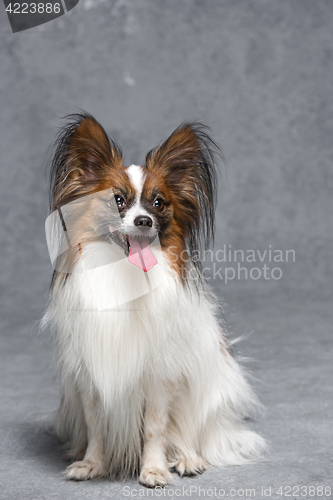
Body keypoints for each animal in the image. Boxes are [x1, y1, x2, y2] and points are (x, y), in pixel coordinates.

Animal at [42, 111, 264, 486]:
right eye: (117, 200)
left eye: (158, 203)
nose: (144, 220)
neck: (125, 274)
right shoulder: (90, 377)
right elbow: (96, 425)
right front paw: (92, 464)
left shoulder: (160, 375)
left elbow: (155, 427)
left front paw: (154, 469)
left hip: (206, 391)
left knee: (191, 433)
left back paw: (188, 458)